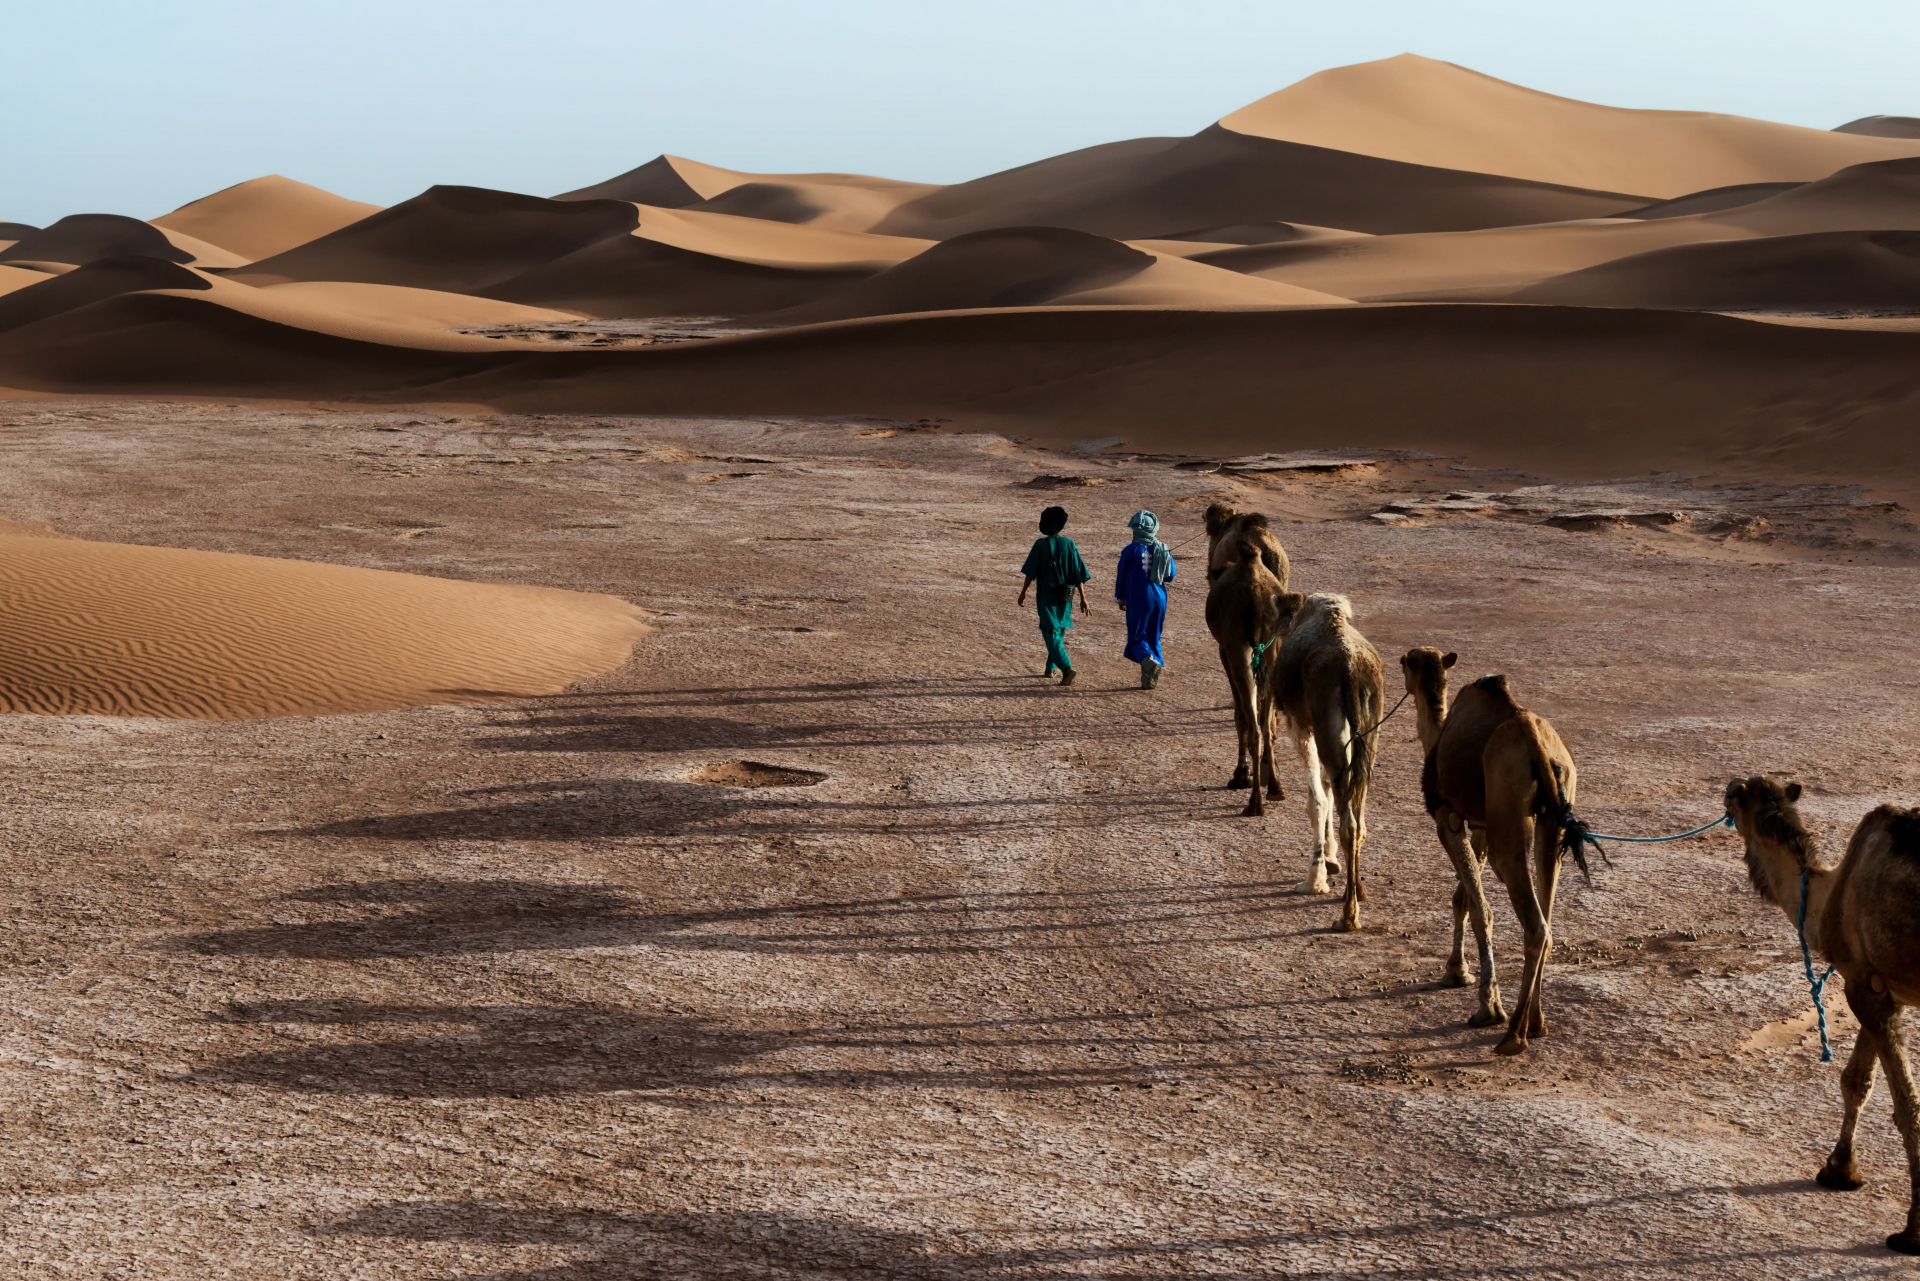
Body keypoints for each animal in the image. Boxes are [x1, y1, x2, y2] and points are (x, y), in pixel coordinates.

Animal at [1202, 501, 1291, 816]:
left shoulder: (1225, 650)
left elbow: (1240, 711)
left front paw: (1241, 773)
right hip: (1272, 647)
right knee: (1266, 724)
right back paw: (1274, 786)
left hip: (1238, 649)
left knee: (1253, 724)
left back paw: (1254, 801)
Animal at [1273, 594, 1383, 930]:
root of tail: (1351, 670)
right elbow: (1328, 790)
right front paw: (1332, 861)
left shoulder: (1299, 723)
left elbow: (1317, 800)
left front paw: (1315, 879)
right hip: (1368, 732)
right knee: (1357, 815)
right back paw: (1357, 891)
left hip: (1324, 723)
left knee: (1348, 819)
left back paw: (1347, 917)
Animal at [1401, 647, 1581, 1055]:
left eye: (1404, 662)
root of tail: (1538, 748)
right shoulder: (1481, 822)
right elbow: (1464, 899)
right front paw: (1456, 970)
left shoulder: (1447, 816)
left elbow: (1479, 907)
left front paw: (1486, 1006)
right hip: (1553, 818)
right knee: (1547, 911)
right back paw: (1537, 1023)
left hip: (1508, 813)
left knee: (1534, 922)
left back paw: (1512, 1034)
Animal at [1725, 776, 1920, 1256]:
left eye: (1738, 795)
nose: (1726, 788)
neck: (1828, 893)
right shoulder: (1878, 985)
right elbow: (1858, 1082)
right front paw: (1840, 1170)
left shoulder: (1863, 989)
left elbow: (1904, 1103)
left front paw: (1912, 1232)